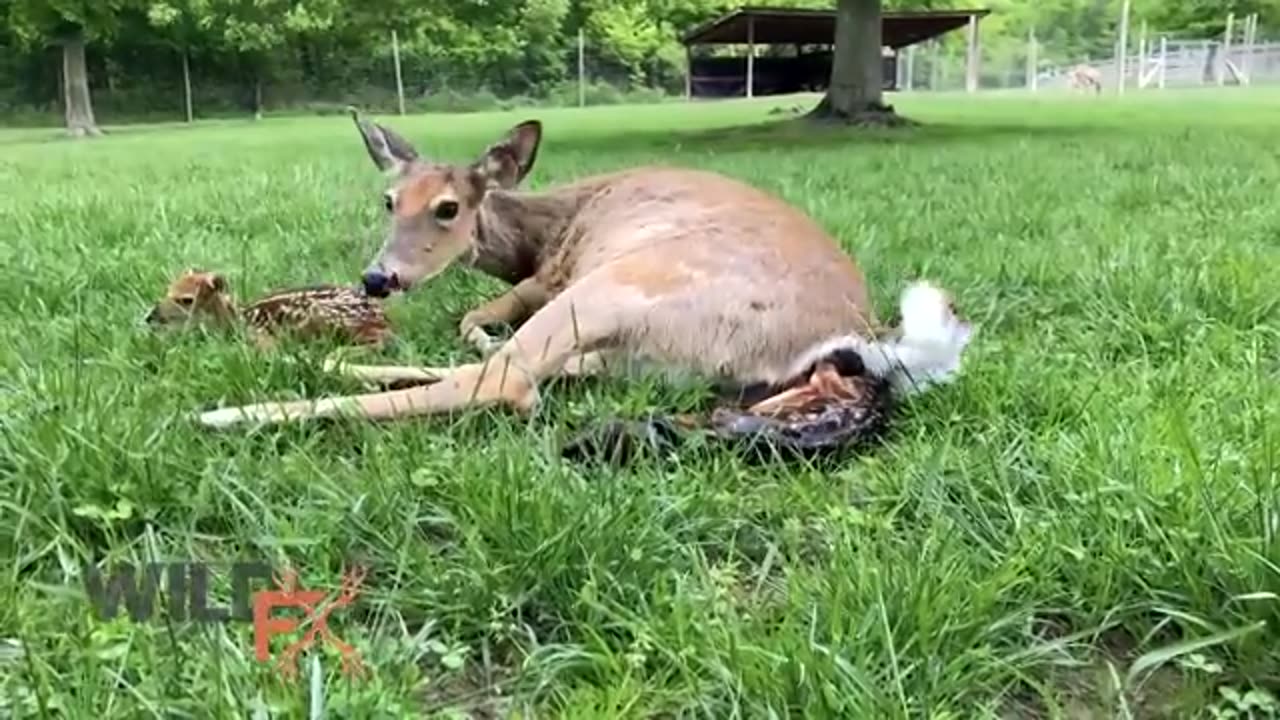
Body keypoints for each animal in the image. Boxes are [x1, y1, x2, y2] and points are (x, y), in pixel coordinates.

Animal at [194, 106, 972, 430]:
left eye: (448, 207)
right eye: (389, 199)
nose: (378, 279)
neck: (540, 233)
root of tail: (858, 337)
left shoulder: (549, 278)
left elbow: (475, 319)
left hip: (618, 284)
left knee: (503, 380)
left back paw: (230, 412)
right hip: (641, 345)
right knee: (529, 372)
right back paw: (315, 365)